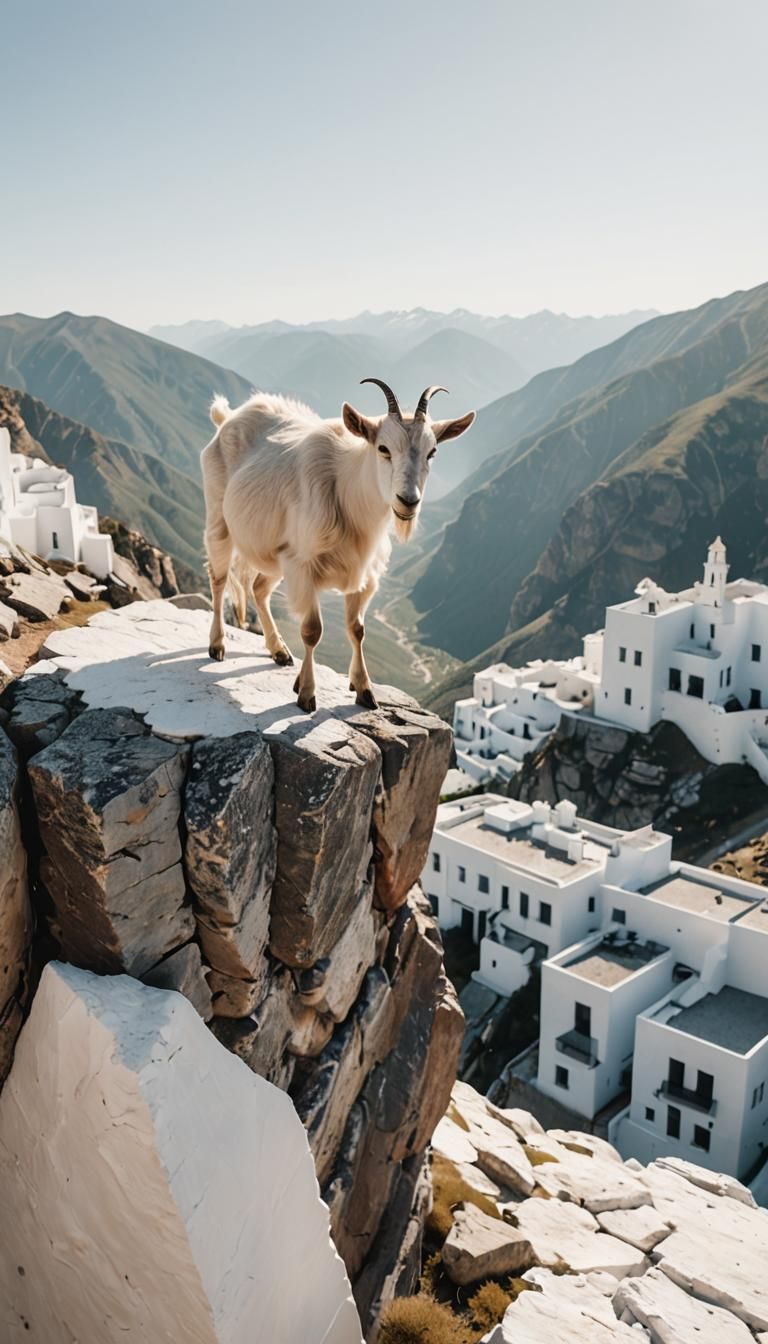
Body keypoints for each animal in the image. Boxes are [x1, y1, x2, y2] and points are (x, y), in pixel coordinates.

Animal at [202, 379, 475, 712]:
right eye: (383, 449)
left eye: (431, 452)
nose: (408, 501)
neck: (347, 494)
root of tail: (227, 418)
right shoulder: (303, 566)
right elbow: (312, 630)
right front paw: (307, 693)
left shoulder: (364, 576)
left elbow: (357, 630)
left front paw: (364, 690)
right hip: (219, 518)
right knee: (219, 579)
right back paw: (217, 644)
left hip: (276, 556)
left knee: (259, 589)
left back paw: (279, 650)